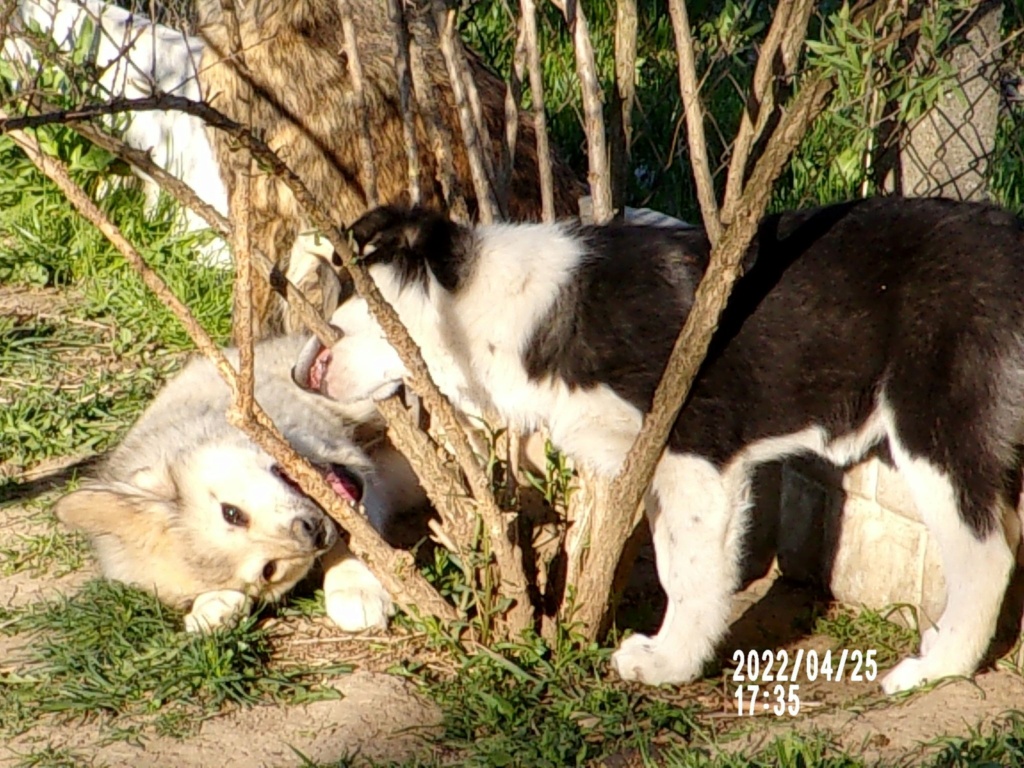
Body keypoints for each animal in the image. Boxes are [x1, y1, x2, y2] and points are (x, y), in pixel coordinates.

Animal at [294, 195, 1024, 696]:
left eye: (343, 306)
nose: (301, 375)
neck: (494, 313)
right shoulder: (654, 463)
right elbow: (678, 561)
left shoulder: (696, 453)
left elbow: (691, 572)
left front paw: (672, 663)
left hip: (934, 424)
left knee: (985, 555)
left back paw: (938, 667)